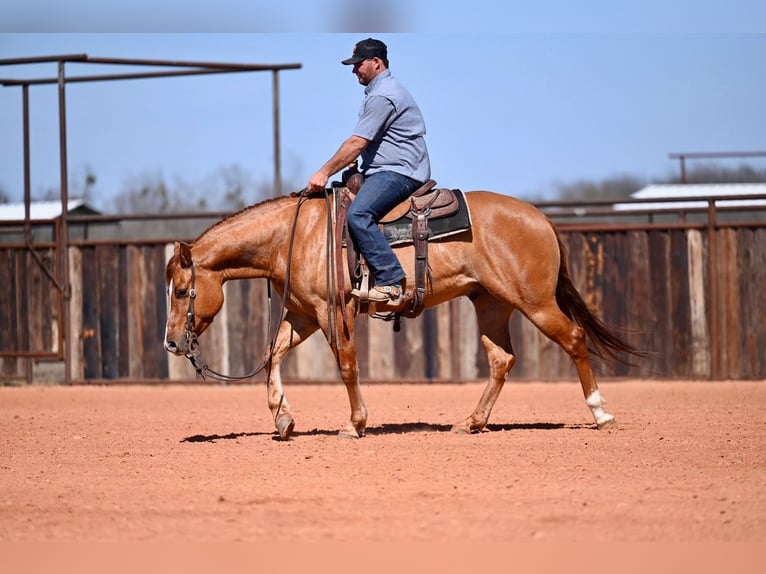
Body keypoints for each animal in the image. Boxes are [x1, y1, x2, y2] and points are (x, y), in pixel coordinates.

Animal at [165, 191, 644, 438]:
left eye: (184, 291)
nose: (171, 342)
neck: (294, 236)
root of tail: (541, 219)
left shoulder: (332, 310)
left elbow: (347, 366)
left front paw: (355, 423)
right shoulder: (303, 315)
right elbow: (272, 357)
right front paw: (283, 420)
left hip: (536, 303)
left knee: (575, 339)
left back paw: (601, 414)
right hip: (491, 303)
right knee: (501, 359)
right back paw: (471, 422)